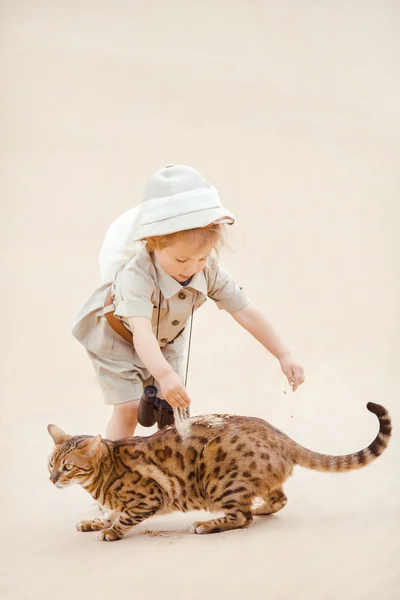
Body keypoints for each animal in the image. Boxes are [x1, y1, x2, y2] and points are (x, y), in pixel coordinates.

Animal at [47, 404, 390, 540]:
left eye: (68, 467)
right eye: (50, 464)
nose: (52, 479)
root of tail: (281, 436)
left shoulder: (147, 498)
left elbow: (122, 518)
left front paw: (110, 531)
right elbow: (109, 512)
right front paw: (94, 522)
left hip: (219, 482)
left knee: (242, 516)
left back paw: (206, 524)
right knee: (277, 499)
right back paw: (262, 507)